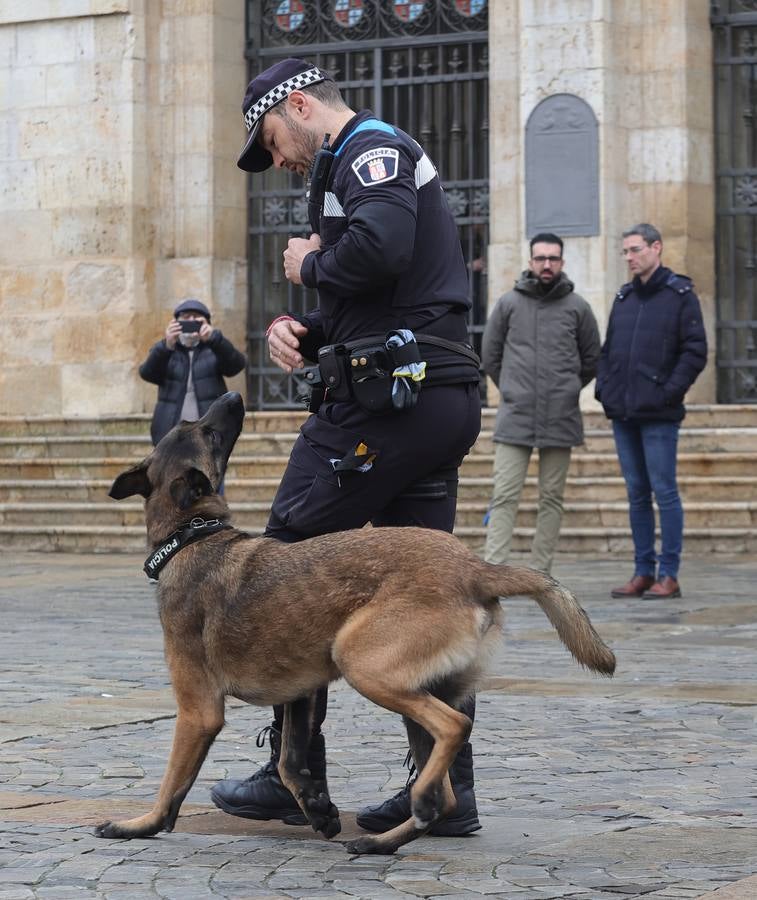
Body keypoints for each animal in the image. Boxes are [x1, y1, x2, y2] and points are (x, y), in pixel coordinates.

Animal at [96, 392, 616, 852]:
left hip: (362, 662)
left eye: (204, 429)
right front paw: (317, 808)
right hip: (420, 684)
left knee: (453, 729)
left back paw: (413, 807)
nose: (232, 396)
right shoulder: (300, 692)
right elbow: (290, 762)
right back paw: (383, 840)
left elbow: (173, 783)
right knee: (448, 790)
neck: (191, 536)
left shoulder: (198, 710)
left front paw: (140, 825)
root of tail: (476, 568)